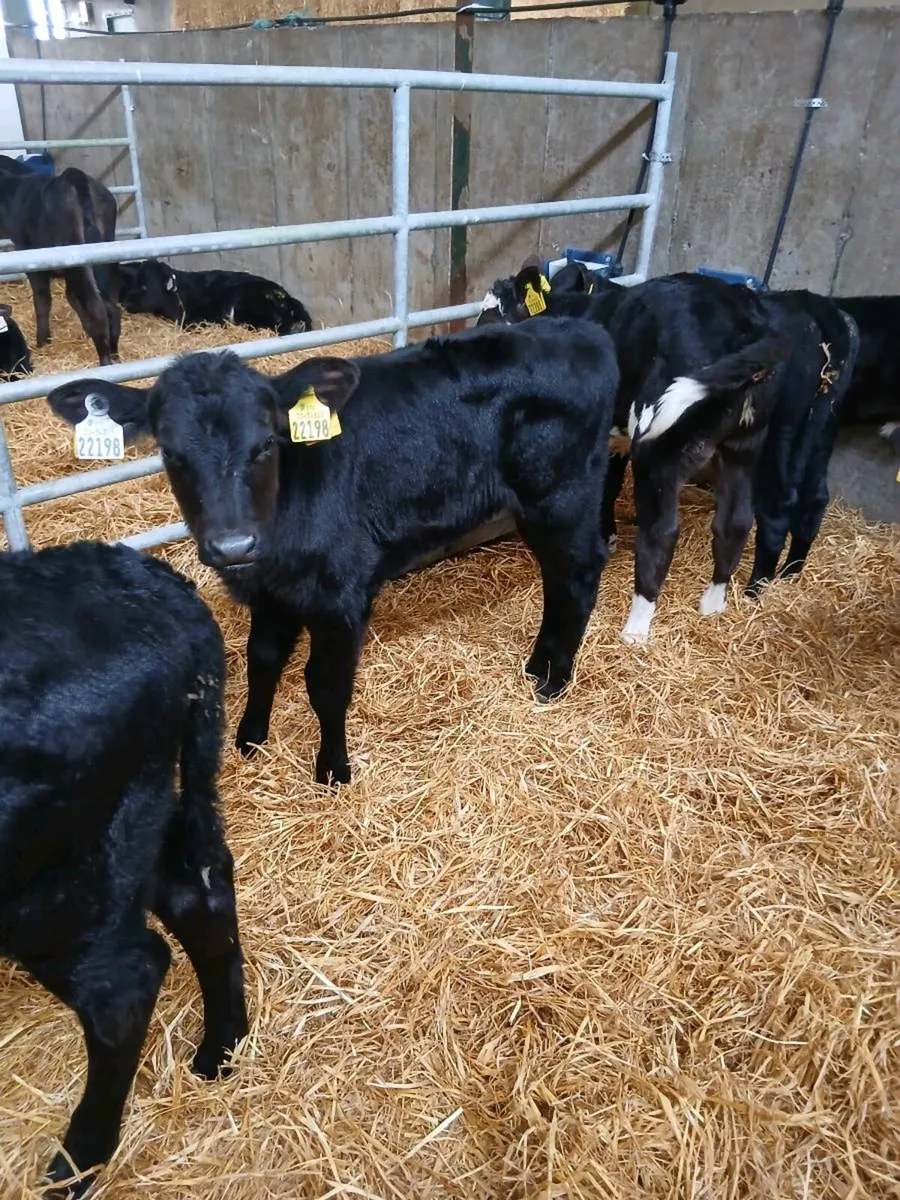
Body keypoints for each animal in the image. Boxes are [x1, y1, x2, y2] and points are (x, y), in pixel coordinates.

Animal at [0, 163, 120, 365]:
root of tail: (73, 176)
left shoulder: (35, 266)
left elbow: (42, 300)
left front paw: (42, 341)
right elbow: (71, 297)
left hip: (77, 260)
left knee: (98, 310)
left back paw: (105, 361)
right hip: (103, 260)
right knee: (111, 307)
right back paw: (114, 353)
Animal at [0, 541, 248, 1198]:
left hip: (56, 883)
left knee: (125, 985)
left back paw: (74, 1166)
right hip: (143, 818)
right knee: (199, 898)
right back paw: (221, 1051)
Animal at [48, 319, 619, 785]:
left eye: (265, 444)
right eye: (170, 453)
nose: (233, 544)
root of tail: (583, 331)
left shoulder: (341, 595)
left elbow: (325, 684)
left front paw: (332, 770)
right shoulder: (272, 594)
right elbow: (263, 659)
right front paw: (250, 737)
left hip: (561, 496)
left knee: (578, 574)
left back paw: (553, 679)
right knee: (559, 579)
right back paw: (539, 667)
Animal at [477, 264, 790, 643]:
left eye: (492, 318)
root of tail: (742, 317)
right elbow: (610, 487)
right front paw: (608, 535)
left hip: (661, 447)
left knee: (661, 533)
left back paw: (636, 627)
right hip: (745, 442)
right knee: (736, 520)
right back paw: (713, 603)